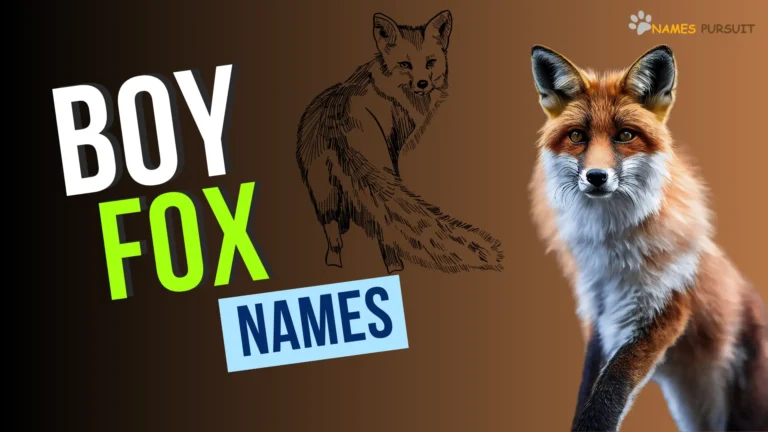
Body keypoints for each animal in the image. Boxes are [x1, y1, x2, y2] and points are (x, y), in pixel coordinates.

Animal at [296, 10, 503, 274]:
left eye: (430, 62)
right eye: (405, 65)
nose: (423, 83)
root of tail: (336, 118)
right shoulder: (392, 147)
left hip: (321, 192)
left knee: (332, 232)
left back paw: (334, 264)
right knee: (384, 228)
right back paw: (394, 267)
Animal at [529, 45, 768, 431]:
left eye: (625, 135)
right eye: (577, 136)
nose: (596, 177)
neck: (611, 248)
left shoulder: (661, 305)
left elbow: (613, 384)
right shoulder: (600, 311)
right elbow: (590, 385)